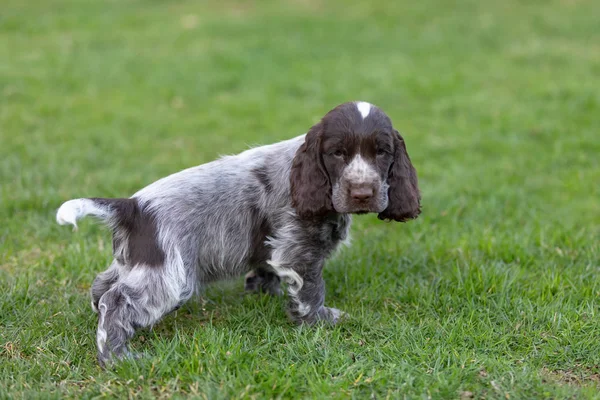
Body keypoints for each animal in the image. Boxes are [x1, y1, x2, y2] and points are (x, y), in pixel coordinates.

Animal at [57, 101, 422, 366]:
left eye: (382, 152)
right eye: (337, 153)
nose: (362, 193)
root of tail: (133, 206)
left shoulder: (274, 247)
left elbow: (266, 270)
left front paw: (264, 295)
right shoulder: (300, 250)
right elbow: (311, 290)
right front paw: (319, 321)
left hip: (135, 262)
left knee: (102, 285)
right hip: (168, 278)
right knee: (116, 302)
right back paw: (117, 357)